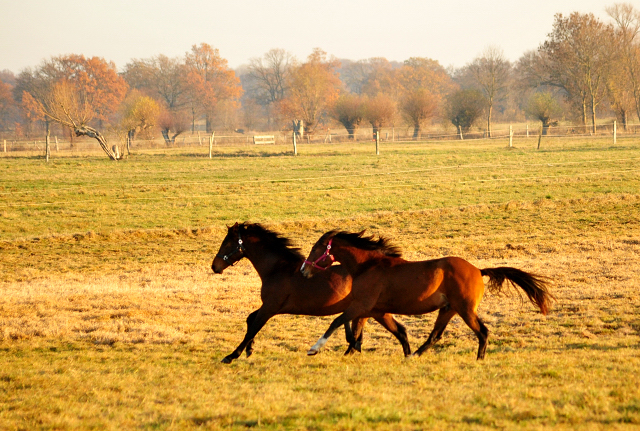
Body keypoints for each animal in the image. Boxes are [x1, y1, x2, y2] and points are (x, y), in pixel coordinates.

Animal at [210, 223, 410, 364]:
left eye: (227, 243)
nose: (214, 266)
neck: (277, 268)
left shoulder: (270, 307)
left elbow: (253, 327)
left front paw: (231, 355)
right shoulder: (269, 307)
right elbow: (250, 320)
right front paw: (249, 350)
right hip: (369, 311)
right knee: (368, 336)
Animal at [302, 233, 556, 362]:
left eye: (316, 249)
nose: (304, 270)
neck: (368, 266)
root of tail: (477, 270)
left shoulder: (361, 306)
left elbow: (337, 322)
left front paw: (314, 349)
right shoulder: (375, 311)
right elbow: (386, 331)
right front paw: (352, 353)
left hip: (464, 309)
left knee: (482, 332)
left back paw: (479, 359)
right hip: (448, 309)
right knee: (435, 336)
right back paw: (415, 355)